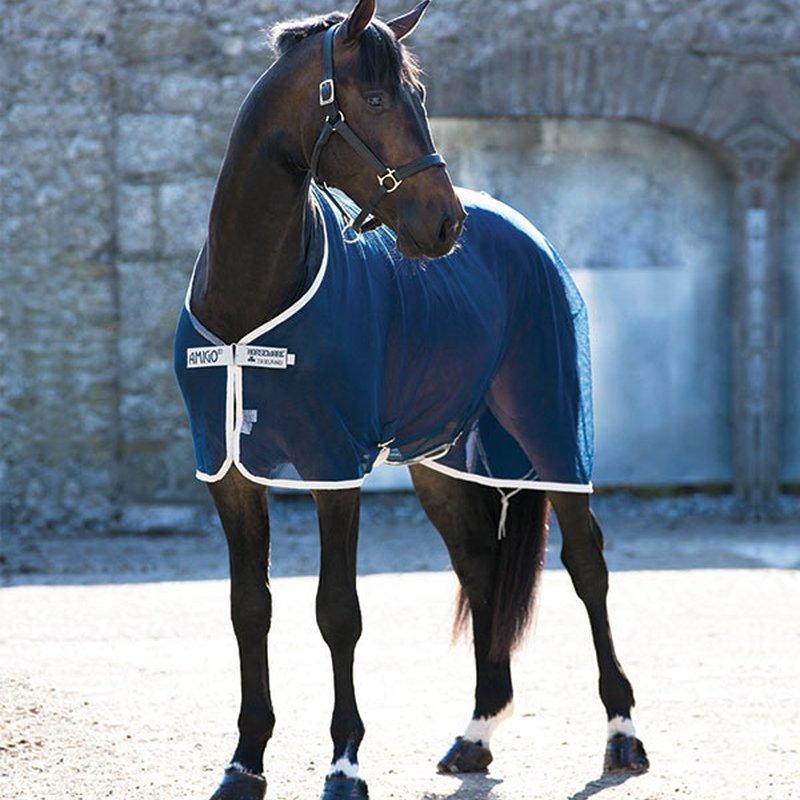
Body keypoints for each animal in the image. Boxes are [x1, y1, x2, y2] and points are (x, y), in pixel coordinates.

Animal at [173, 2, 649, 798]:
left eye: (419, 99)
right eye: (372, 99)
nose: (446, 223)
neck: (249, 302)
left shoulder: (334, 466)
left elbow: (338, 612)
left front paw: (344, 766)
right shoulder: (229, 471)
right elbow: (250, 609)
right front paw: (244, 764)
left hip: (554, 432)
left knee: (588, 565)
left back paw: (622, 737)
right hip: (443, 461)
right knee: (480, 569)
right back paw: (475, 735)